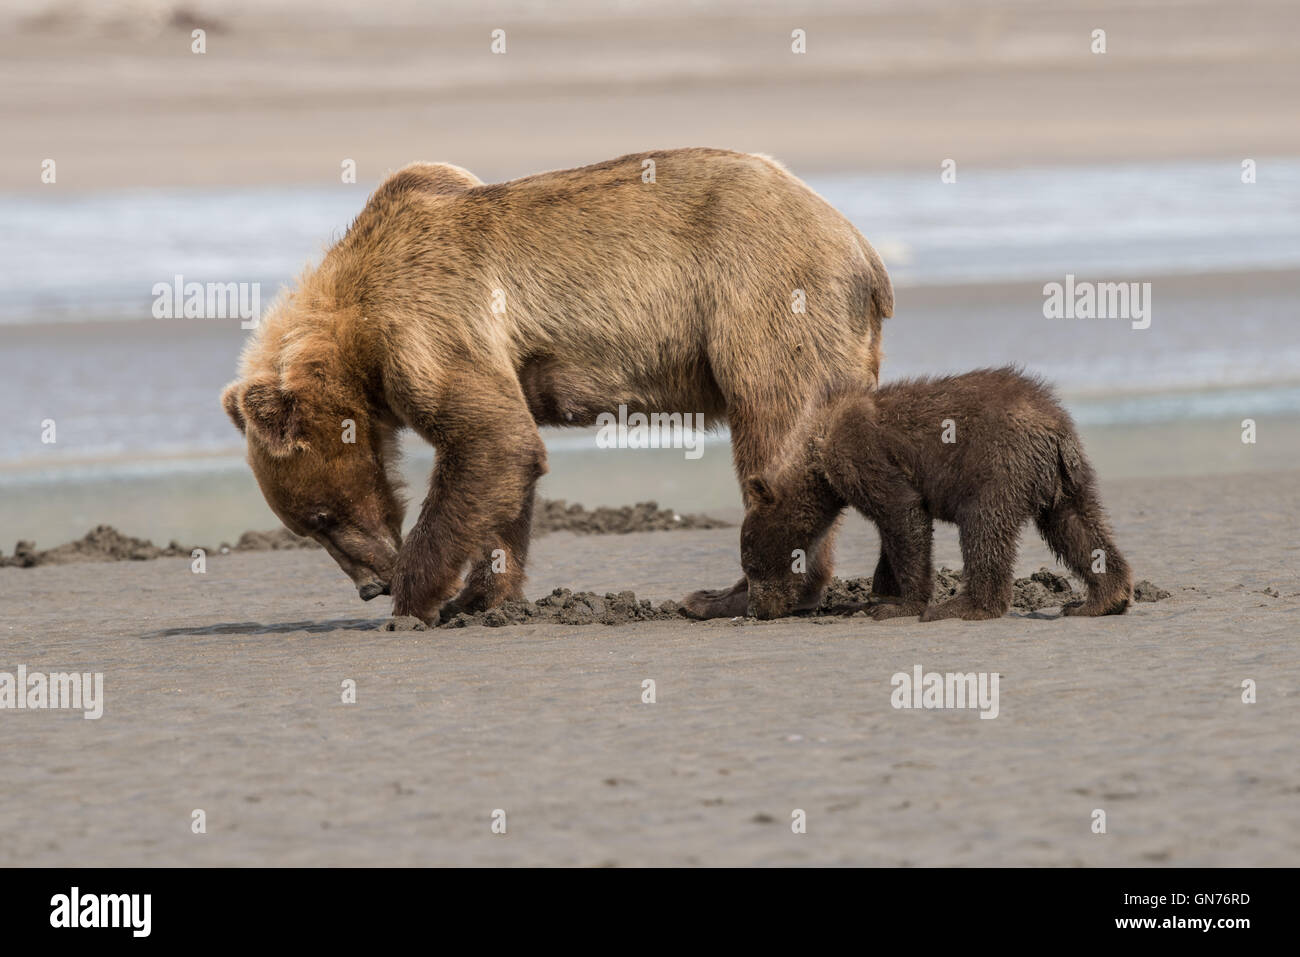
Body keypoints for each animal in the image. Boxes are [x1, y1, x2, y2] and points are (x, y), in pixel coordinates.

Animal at [220, 148, 893, 624]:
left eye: (322, 516)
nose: (369, 588)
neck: (351, 332)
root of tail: (863, 248)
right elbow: (505, 466)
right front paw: (478, 599)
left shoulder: (426, 321)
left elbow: (489, 440)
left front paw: (415, 602)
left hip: (764, 297)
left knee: (773, 432)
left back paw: (733, 596)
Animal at [739, 367, 1133, 621]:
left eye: (752, 565)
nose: (756, 610)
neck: (818, 454)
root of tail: (1053, 425)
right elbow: (893, 532)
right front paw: (875, 597)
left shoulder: (862, 455)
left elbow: (902, 512)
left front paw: (900, 605)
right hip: (1066, 478)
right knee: (1077, 527)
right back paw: (1100, 600)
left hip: (996, 464)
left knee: (983, 528)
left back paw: (963, 606)